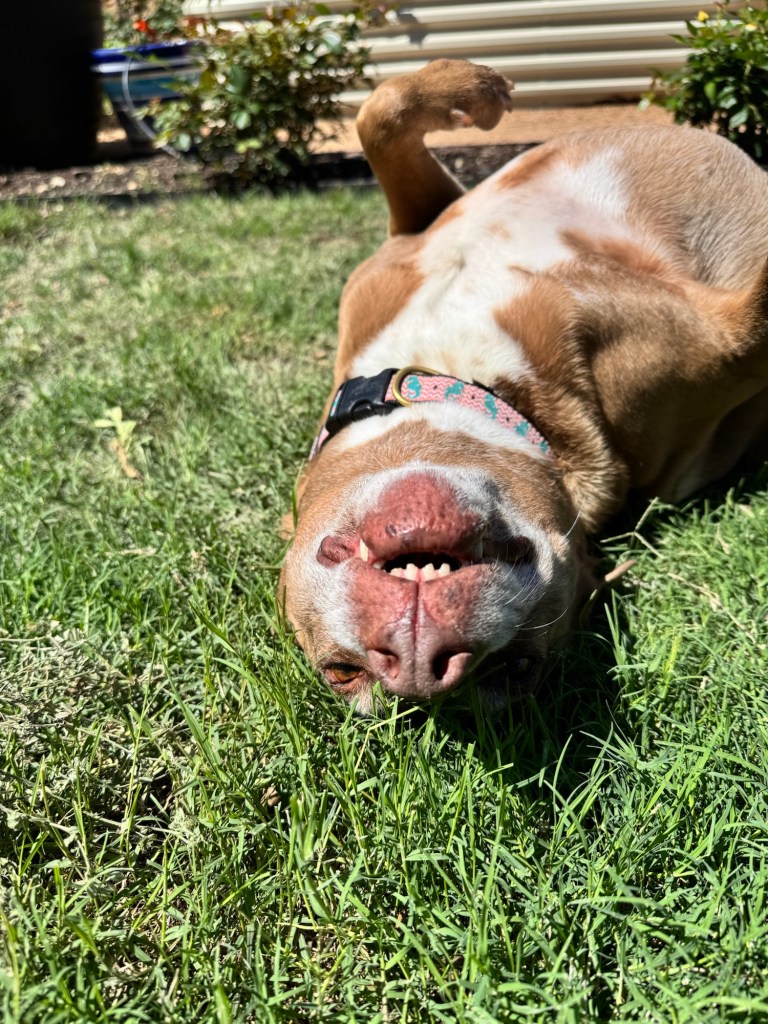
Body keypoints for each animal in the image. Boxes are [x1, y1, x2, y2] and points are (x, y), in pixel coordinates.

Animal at [280, 60, 768, 713]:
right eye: (342, 672)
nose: (417, 666)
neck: (465, 378)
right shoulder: (734, 347)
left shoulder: (409, 234)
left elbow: (379, 112)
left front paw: (473, 90)